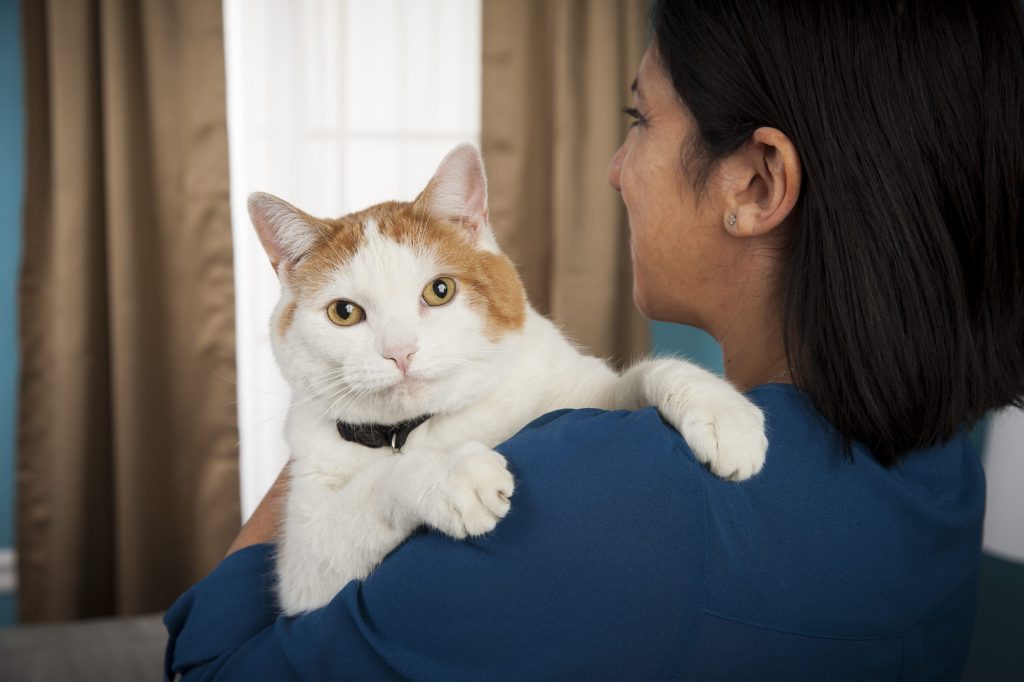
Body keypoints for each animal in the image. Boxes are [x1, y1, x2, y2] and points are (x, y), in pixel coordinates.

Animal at [245, 140, 761, 614]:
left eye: (439, 291)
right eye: (345, 313)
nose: (400, 352)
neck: (425, 426)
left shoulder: (582, 391)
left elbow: (644, 374)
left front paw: (723, 413)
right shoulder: (304, 571)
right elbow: (375, 487)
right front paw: (451, 473)